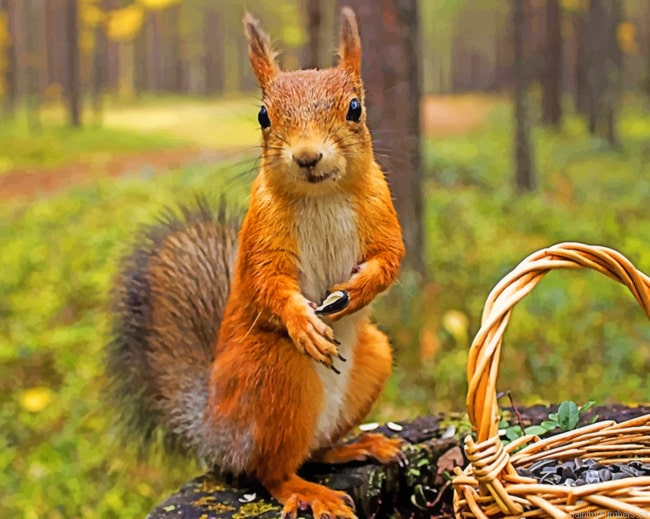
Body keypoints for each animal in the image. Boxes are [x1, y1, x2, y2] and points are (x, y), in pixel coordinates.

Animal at [106, 8, 405, 519]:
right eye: (264, 115)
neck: (321, 195)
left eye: (355, 108)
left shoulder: (381, 210)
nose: (307, 156)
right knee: (271, 471)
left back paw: (358, 446)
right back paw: (309, 491)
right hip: (275, 373)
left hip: (373, 358)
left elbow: (390, 258)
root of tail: (215, 433)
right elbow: (268, 282)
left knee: (315, 450)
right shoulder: (263, 232)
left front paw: (356, 291)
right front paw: (302, 321)